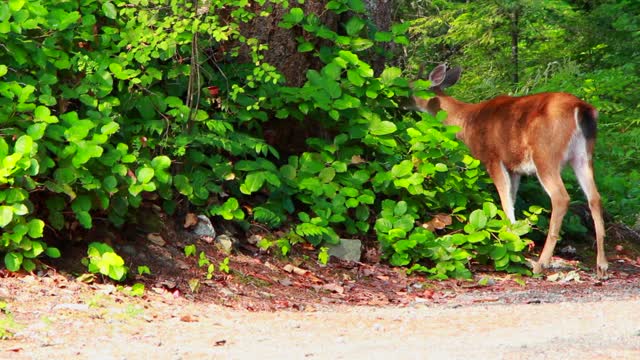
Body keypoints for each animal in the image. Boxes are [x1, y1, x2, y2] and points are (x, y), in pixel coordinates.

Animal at [412, 64, 608, 278]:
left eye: (412, 86)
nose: (403, 100)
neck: (467, 122)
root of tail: (582, 109)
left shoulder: (493, 158)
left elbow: (505, 203)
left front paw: (512, 247)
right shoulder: (514, 168)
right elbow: (511, 201)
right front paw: (515, 242)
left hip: (546, 154)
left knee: (560, 197)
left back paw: (541, 264)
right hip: (583, 155)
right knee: (595, 197)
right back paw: (602, 265)